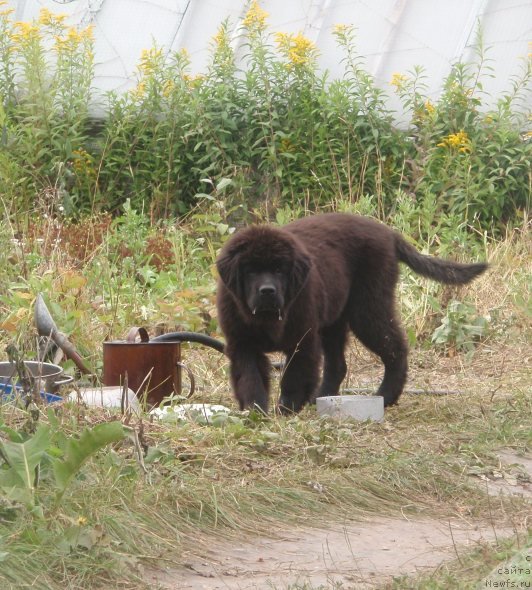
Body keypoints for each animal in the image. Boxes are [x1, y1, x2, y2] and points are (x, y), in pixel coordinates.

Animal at [215, 214, 486, 416]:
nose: (267, 291)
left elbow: (293, 377)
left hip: (367, 309)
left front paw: (287, 410)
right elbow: (250, 378)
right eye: (250, 271)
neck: (267, 318)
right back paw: (321, 398)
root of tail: (389, 234)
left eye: (280, 269)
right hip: (335, 320)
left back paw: (385, 396)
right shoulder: (241, 343)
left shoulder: (303, 339)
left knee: (395, 349)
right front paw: (255, 411)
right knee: (338, 365)